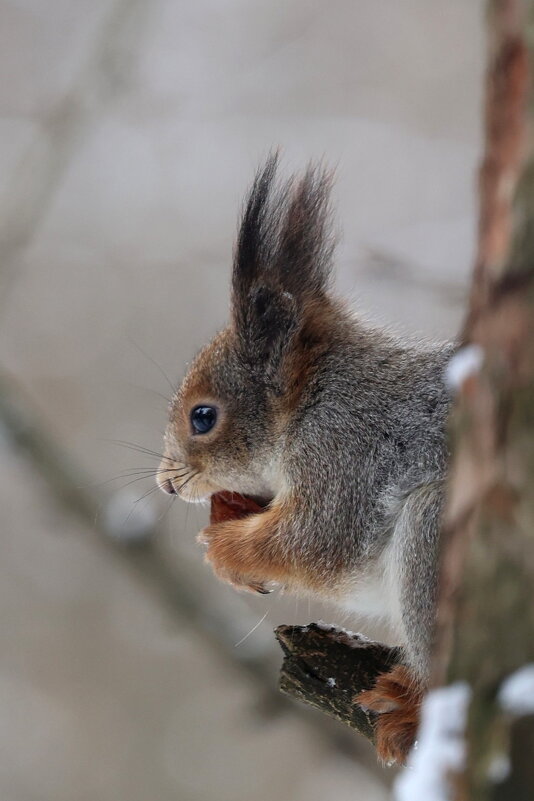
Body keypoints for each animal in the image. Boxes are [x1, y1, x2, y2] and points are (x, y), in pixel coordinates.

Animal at [157, 156, 454, 764]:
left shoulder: (346, 452)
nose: (167, 484)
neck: (311, 399)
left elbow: (317, 540)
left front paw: (224, 550)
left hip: (436, 534)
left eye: (203, 416)